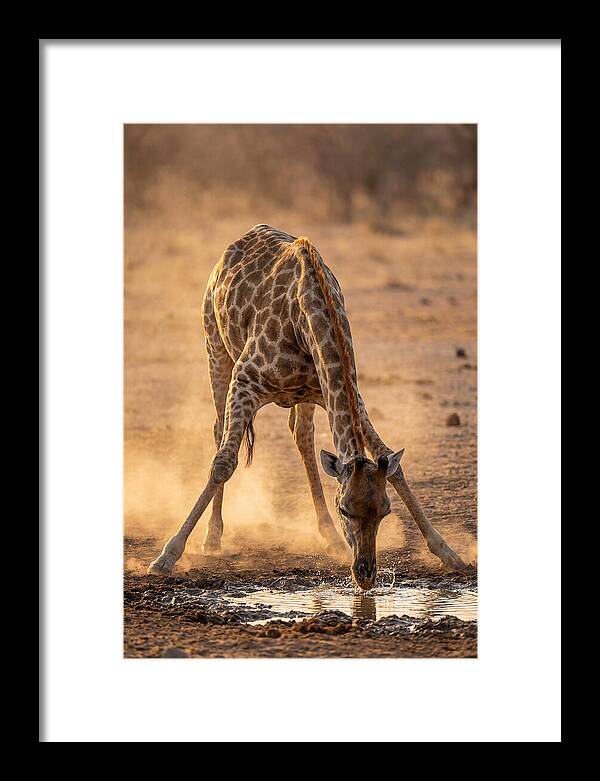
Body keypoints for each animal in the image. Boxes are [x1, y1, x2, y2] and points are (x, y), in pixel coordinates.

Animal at [147, 224, 466, 588]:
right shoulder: (245, 380)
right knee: (219, 431)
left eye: (385, 509)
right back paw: (213, 538)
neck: (309, 316)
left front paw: (448, 552)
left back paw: (330, 538)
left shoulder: (342, 390)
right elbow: (224, 463)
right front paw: (167, 556)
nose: (366, 574)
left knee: (302, 436)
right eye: (345, 509)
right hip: (215, 348)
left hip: (303, 396)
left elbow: (391, 463)